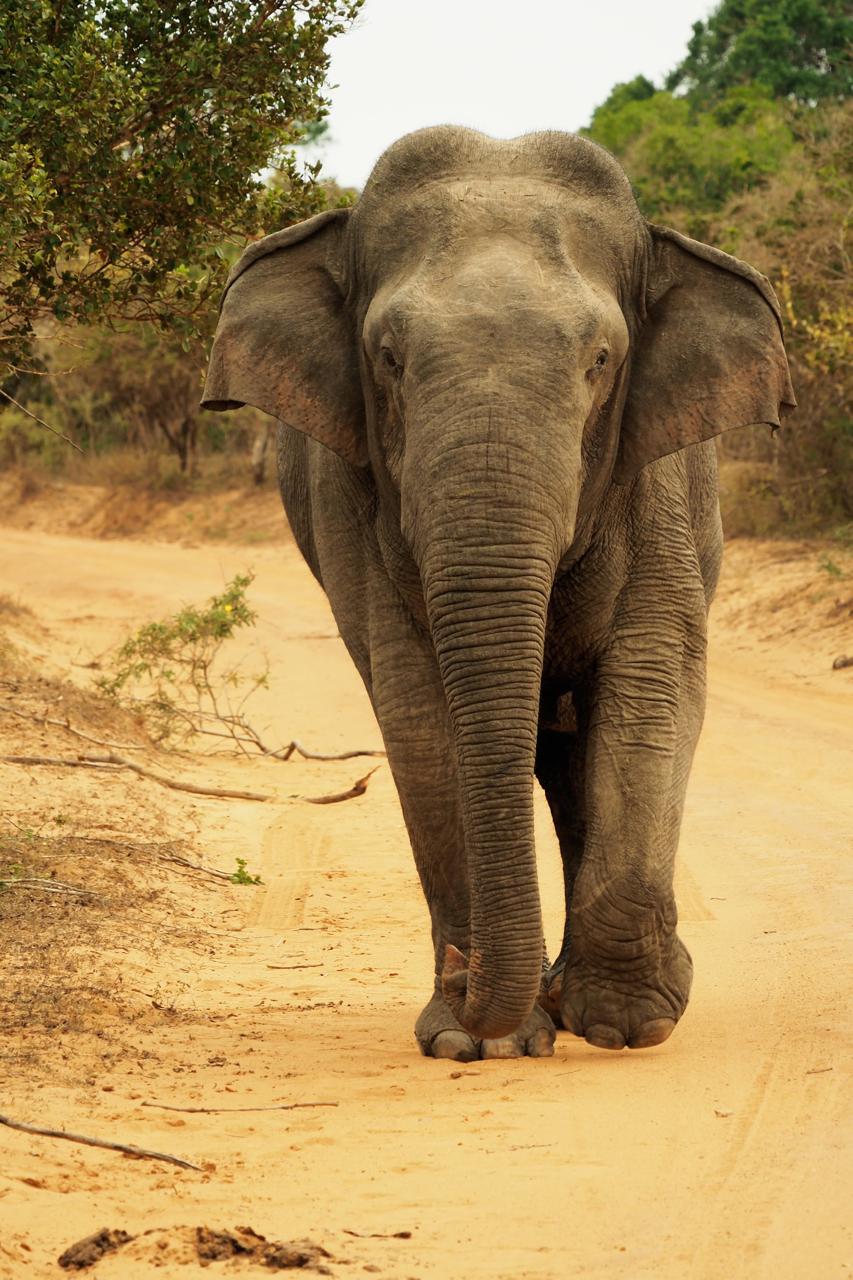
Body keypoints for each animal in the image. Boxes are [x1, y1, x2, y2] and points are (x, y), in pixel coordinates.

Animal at [202, 127, 795, 1062]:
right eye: (389, 359)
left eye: (599, 362)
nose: (463, 968)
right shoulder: (352, 499)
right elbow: (416, 713)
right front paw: (475, 1043)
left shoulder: (656, 482)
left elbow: (652, 685)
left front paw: (627, 1027)